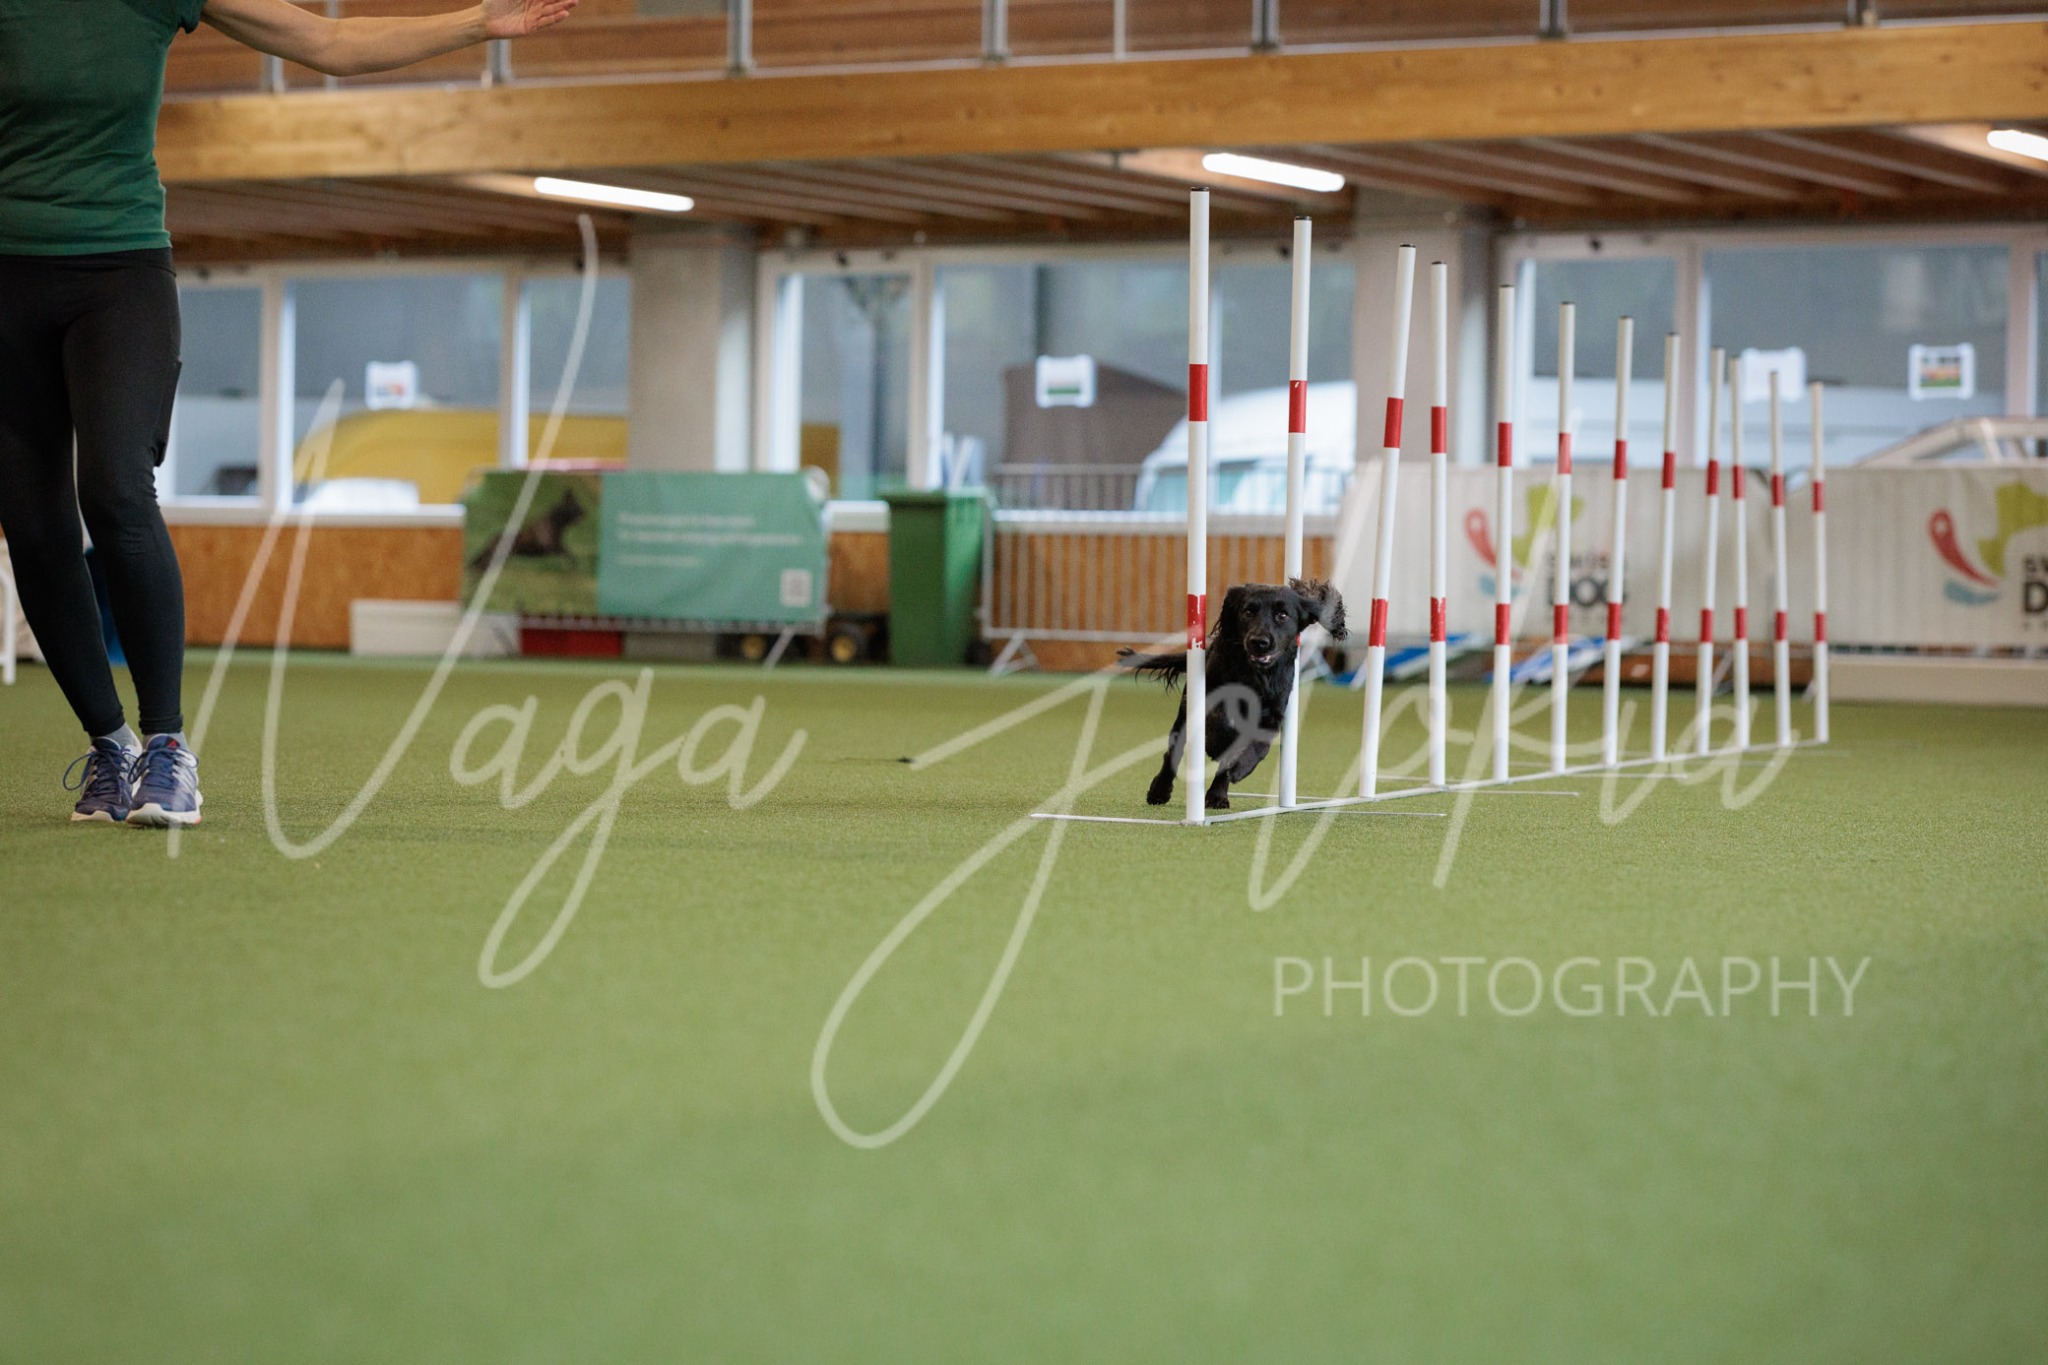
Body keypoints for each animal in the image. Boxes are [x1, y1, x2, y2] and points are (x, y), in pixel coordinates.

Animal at [1120, 578, 1347, 810]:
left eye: (1282, 615)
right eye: (1248, 612)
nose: (1259, 642)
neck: (1253, 674)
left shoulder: (1272, 714)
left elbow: (1258, 747)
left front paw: (1239, 768)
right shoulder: (1209, 698)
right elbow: (1218, 722)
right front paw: (1217, 744)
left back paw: (1217, 795)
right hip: (1185, 712)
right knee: (1173, 751)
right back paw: (1160, 791)